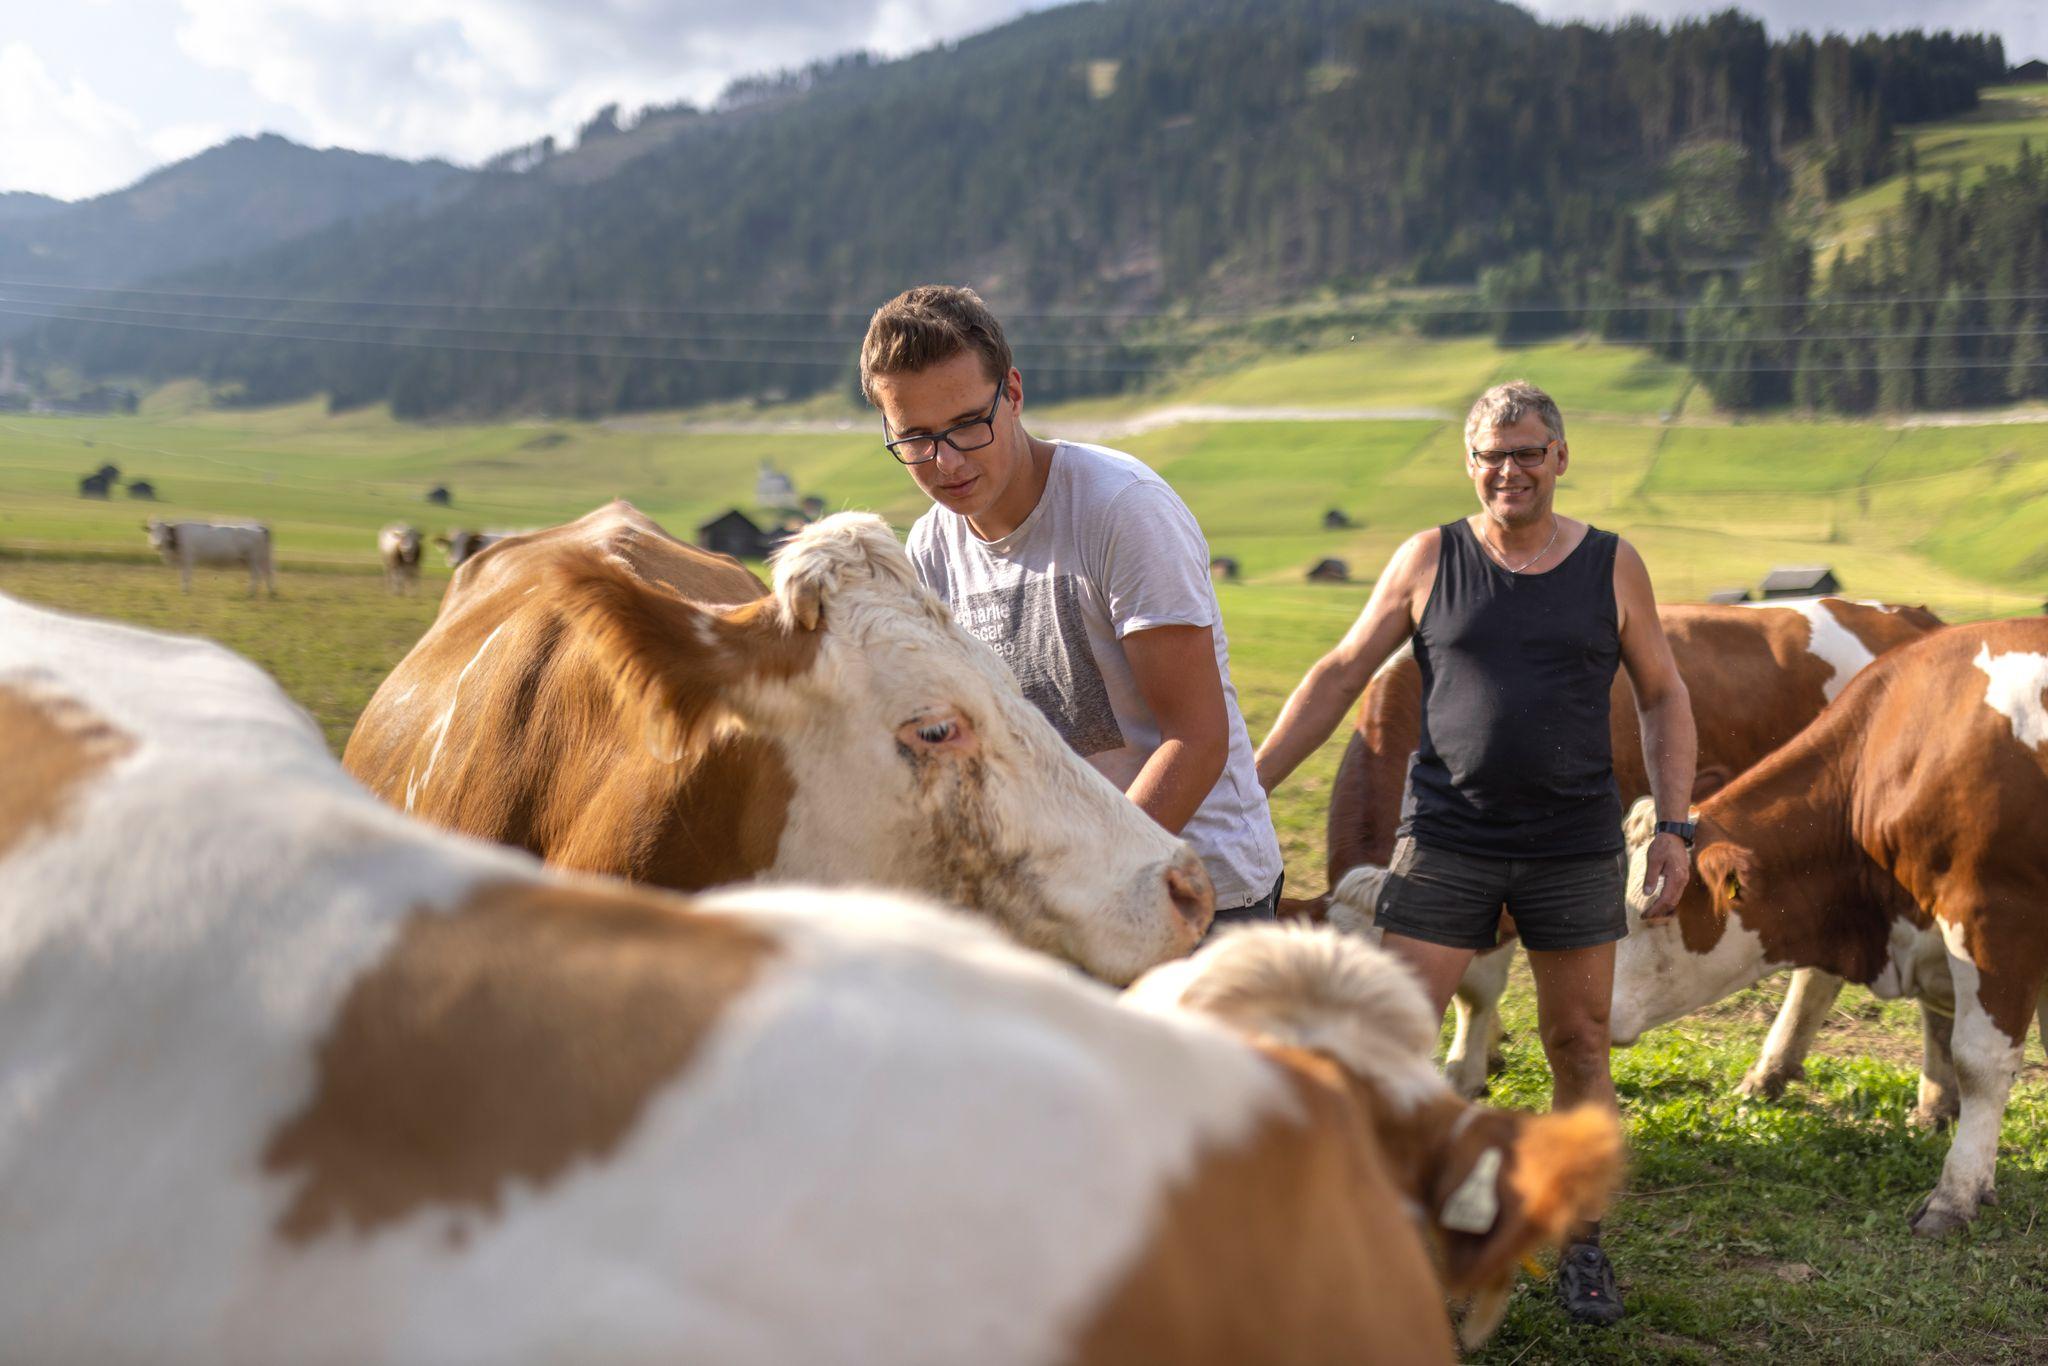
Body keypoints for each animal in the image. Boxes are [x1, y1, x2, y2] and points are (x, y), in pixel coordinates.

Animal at [143, 518, 277, 595]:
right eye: (152, 531)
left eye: (164, 532)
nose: (158, 544)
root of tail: (259, 527)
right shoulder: (183, 562)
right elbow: (183, 576)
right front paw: (184, 590)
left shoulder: (188, 559)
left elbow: (186, 576)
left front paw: (185, 591)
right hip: (261, 559)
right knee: (267, 574)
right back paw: (270, 592)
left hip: (253, 559)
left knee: (257, 575)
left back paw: (251, 593)